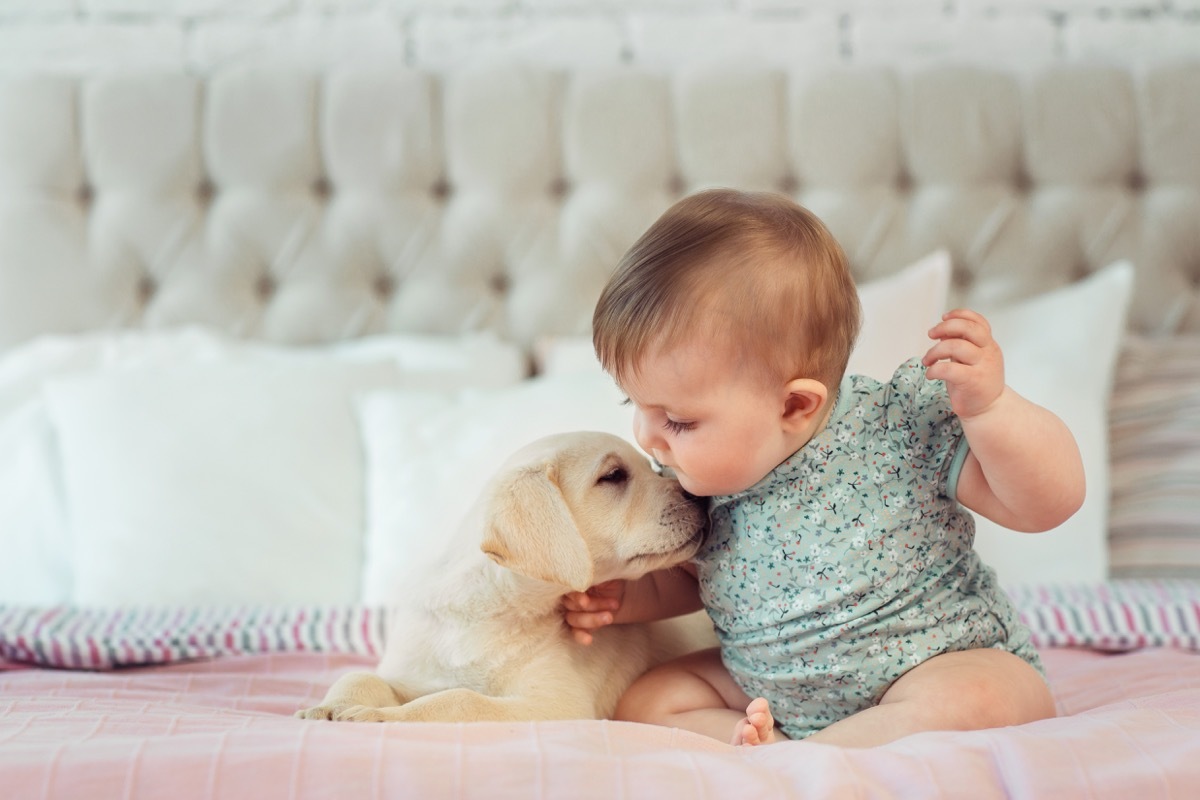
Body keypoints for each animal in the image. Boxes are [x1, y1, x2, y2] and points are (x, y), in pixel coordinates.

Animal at [297, 431, 710, 724]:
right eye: (613, 476)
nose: (702, 497)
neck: (487, 614)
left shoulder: (557, 704)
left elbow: (458, 699)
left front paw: (382, 716)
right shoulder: (411, 674)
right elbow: (361, 677)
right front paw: (331, 706)